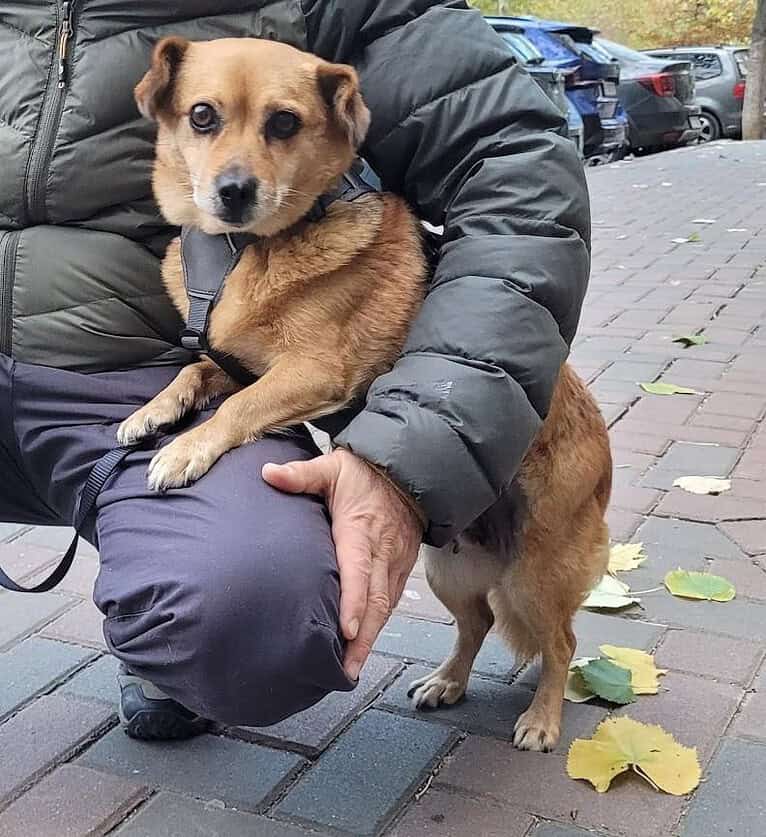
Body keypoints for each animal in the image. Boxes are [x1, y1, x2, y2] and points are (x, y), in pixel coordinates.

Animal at [123, 36, 616, 752]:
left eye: (285, 122)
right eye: (203, 116)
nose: (234, 192)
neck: (251, 249)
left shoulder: (312, 373)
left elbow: (240, 407)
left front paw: (186, 450)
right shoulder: (239, 363)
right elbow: (194, 373)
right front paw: (153, 412)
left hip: (537, 575)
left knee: (562, 643)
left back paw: (542, 720)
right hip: (449, 571)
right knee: (477, 624)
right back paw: (447, 683)